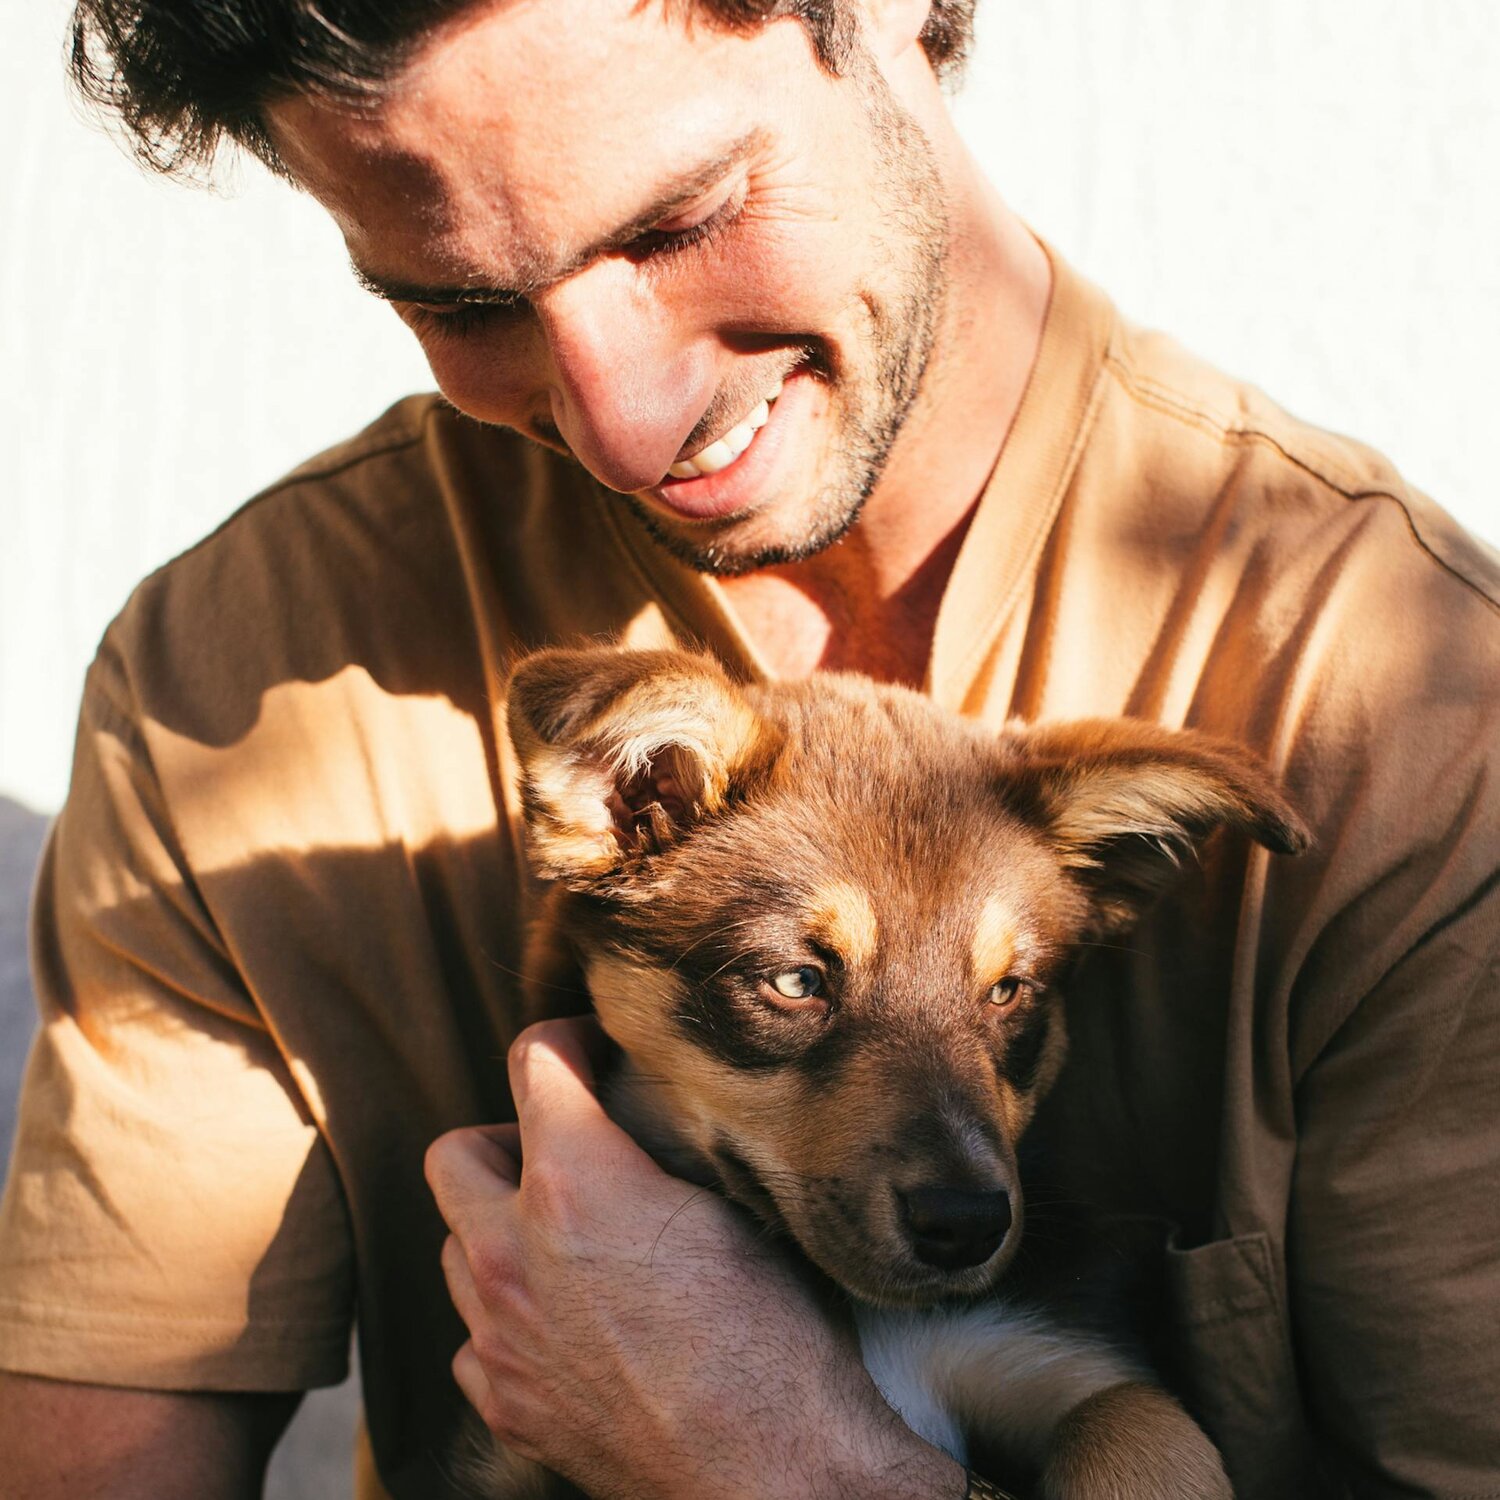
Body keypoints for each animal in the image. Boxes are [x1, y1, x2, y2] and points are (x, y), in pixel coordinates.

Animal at [474, 648, 1308, 1500]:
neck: (874, 1323)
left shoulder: (1043, 1349)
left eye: (1007, 991)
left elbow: (1136, 1425)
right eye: (797, 981)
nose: (966, 1226)